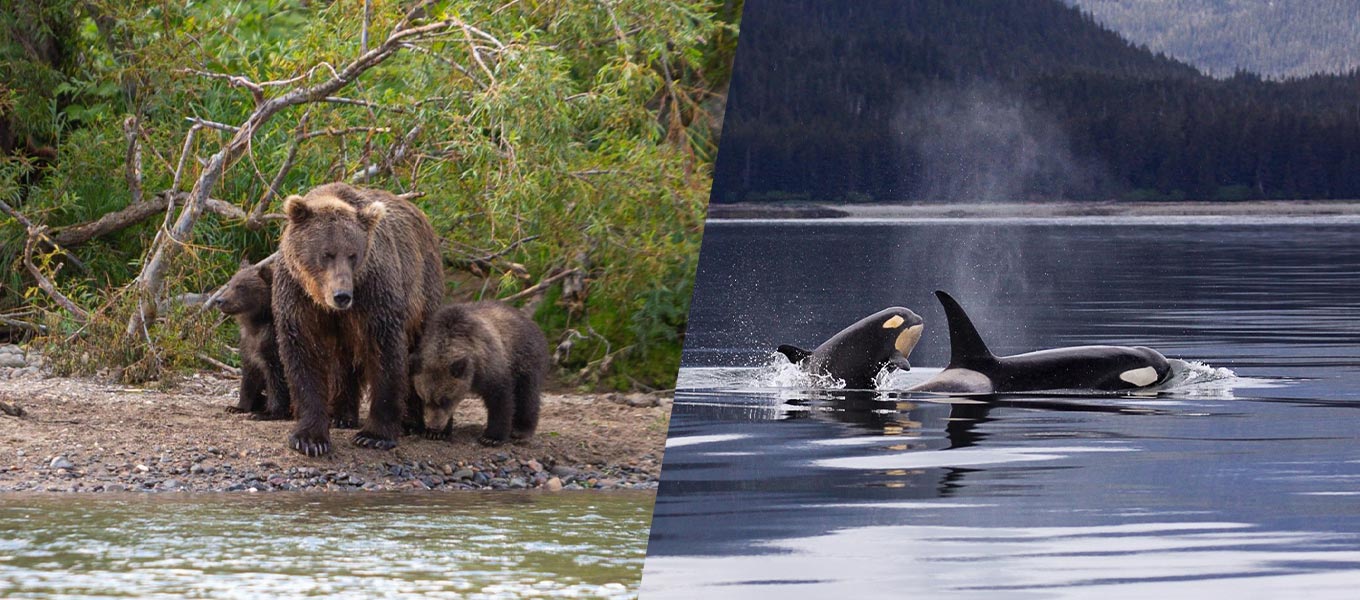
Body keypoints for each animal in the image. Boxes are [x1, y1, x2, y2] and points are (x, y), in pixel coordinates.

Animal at [215, 259, 291, 420]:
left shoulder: (273, 345)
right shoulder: (248, 344)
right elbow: (249, 378)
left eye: (241, 287)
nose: (219, 300)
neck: (256, 324)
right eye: (230, 284)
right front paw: (237, 407)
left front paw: (268, 413)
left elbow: (277, 379)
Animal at [273, 182, 444, 456]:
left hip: (424, 288)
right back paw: (341, 415)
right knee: (342, 363)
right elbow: (304, 355)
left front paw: (374, 435)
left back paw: (416, 423)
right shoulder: (296, 296)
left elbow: (385, 352)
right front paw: (310, 439)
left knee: (423, 349)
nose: (342, 296)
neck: (321, 298)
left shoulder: (374, 292)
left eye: (353, 254)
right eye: (327, 253)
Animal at [411, 301, 549, 446]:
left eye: (445, 400)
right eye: (424, 399)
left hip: (525, 359)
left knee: (527, 394)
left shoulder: (491, 366)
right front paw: (437, 433)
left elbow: (500, 399)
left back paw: (521, 430)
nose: (434, 427)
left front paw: (491, 437)